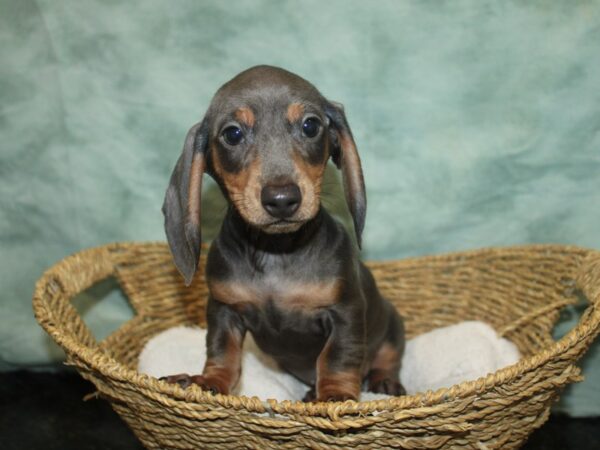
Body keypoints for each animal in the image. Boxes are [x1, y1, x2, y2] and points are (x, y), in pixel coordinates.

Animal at [159, 64, 406, 400]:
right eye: (232, 133)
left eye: (311, 125)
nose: (281, 200)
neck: (275, 252)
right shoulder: (224, 309)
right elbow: (223, 350)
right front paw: (209, 381)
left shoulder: (345, 311)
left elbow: (338, 357)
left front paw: (335, 396)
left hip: (392, 324)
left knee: (387, 356)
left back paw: (383, 381)